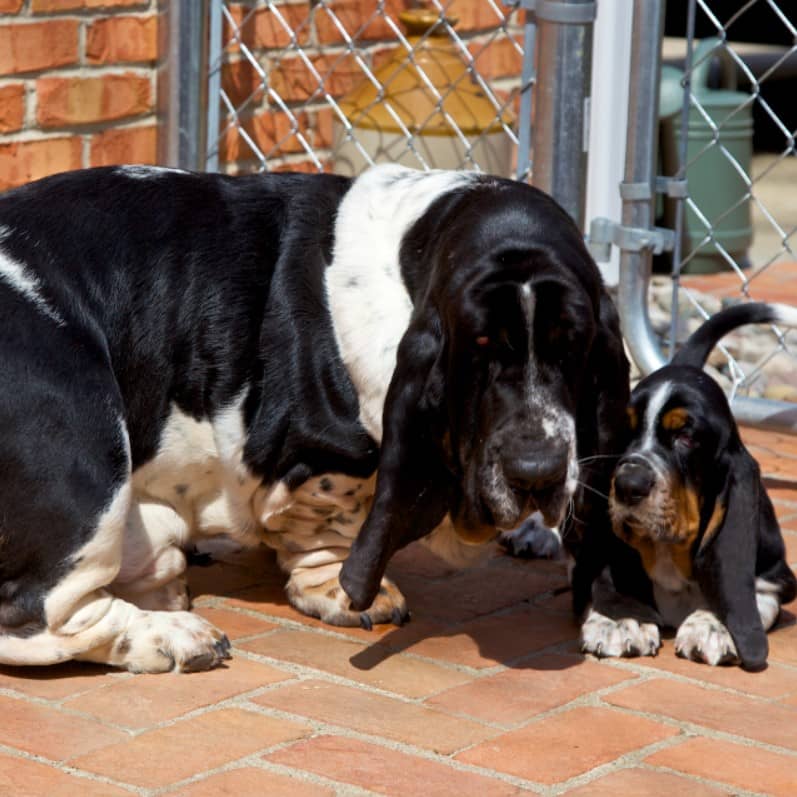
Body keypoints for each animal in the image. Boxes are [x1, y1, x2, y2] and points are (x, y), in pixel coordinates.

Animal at [0, 163, 624, 672]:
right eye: (479, 352)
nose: (537, 470)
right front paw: (346, 592)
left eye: (574, 348)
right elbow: (332, 528)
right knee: (40, 616)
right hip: (90, 448)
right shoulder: (328, 459)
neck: (409, 264)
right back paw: (170, 635)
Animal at [580, 304, 796, 672]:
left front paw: (714, 625)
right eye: (624, 431)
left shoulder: (776, 576)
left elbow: (748, 591)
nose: (628, 484)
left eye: (686, 437)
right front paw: (621, 619)